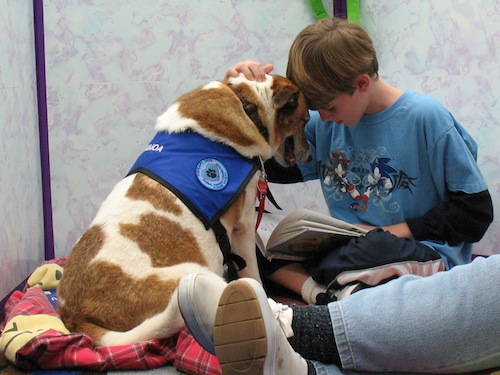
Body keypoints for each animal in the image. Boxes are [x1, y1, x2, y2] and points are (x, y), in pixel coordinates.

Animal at [56, 73, 310, 346]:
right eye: (305, 120)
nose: (309, 155)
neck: (246, 104)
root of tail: (74, 317)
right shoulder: (244, 226)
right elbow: (253, 274)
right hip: (197, 275)